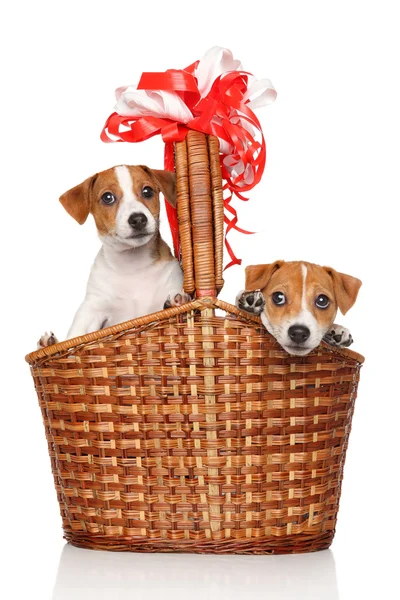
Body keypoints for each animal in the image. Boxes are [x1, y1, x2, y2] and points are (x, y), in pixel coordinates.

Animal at [39, 166, 190, 350]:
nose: (138, 219)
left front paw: (179, 300)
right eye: (108, 197)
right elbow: (75, 335)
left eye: (147, 191)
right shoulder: (92, 308)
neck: (133, 264)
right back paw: (47, 343)